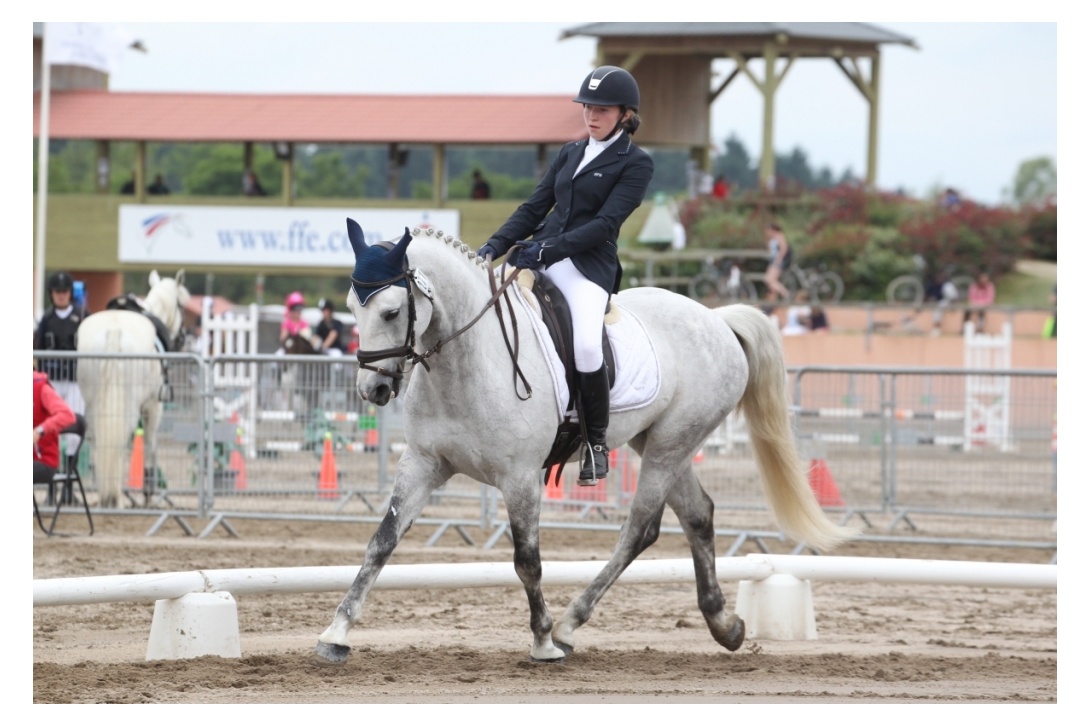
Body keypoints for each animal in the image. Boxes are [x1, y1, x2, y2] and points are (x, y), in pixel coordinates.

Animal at [77, 270, 189, 510]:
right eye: (181, 305)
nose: (184, 337)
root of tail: (114, 329)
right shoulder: (153, 407)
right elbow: (150, 444)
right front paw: (148, 493)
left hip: (94, 401)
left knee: (97, 437)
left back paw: (101, 492)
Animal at [316, 223, 850, 667]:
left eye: (391, 310)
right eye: (352, 308)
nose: (372, 390)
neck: (466, 363)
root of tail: (717, 319)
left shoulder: (520, 478)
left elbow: (527, 560)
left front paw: (543, 642)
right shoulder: (423, 464)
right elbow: (382, 541)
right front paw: (336, 633)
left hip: (671, 445)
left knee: (640, 528)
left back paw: (571, 624)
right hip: (659, 441)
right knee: (698, 514)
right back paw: (725, 624)